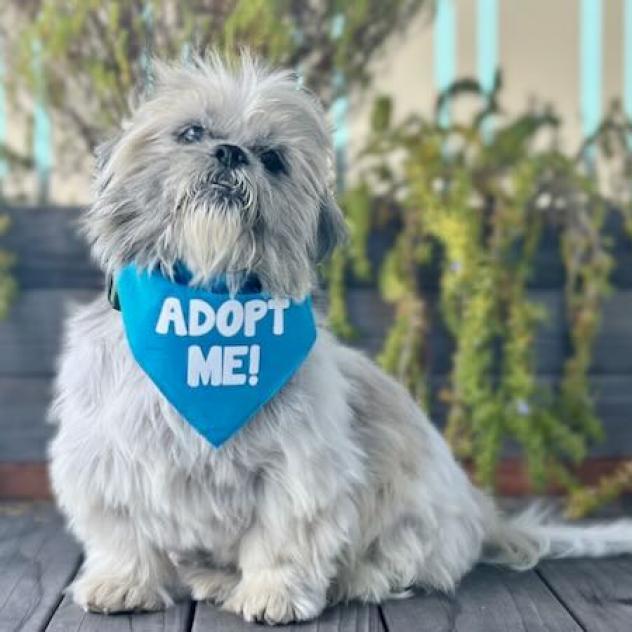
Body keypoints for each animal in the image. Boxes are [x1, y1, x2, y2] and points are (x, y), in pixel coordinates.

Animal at [49, 53, 632, 624]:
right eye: (191, 131)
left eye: (273, 159)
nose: (232, 152)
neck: (209, 318)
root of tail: (479, 513)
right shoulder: (106, 456)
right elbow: (122, 534)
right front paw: (123, 582)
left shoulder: (298, 468)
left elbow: (282, 536)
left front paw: (274, 593)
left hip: (413, 511)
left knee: (405, 561)